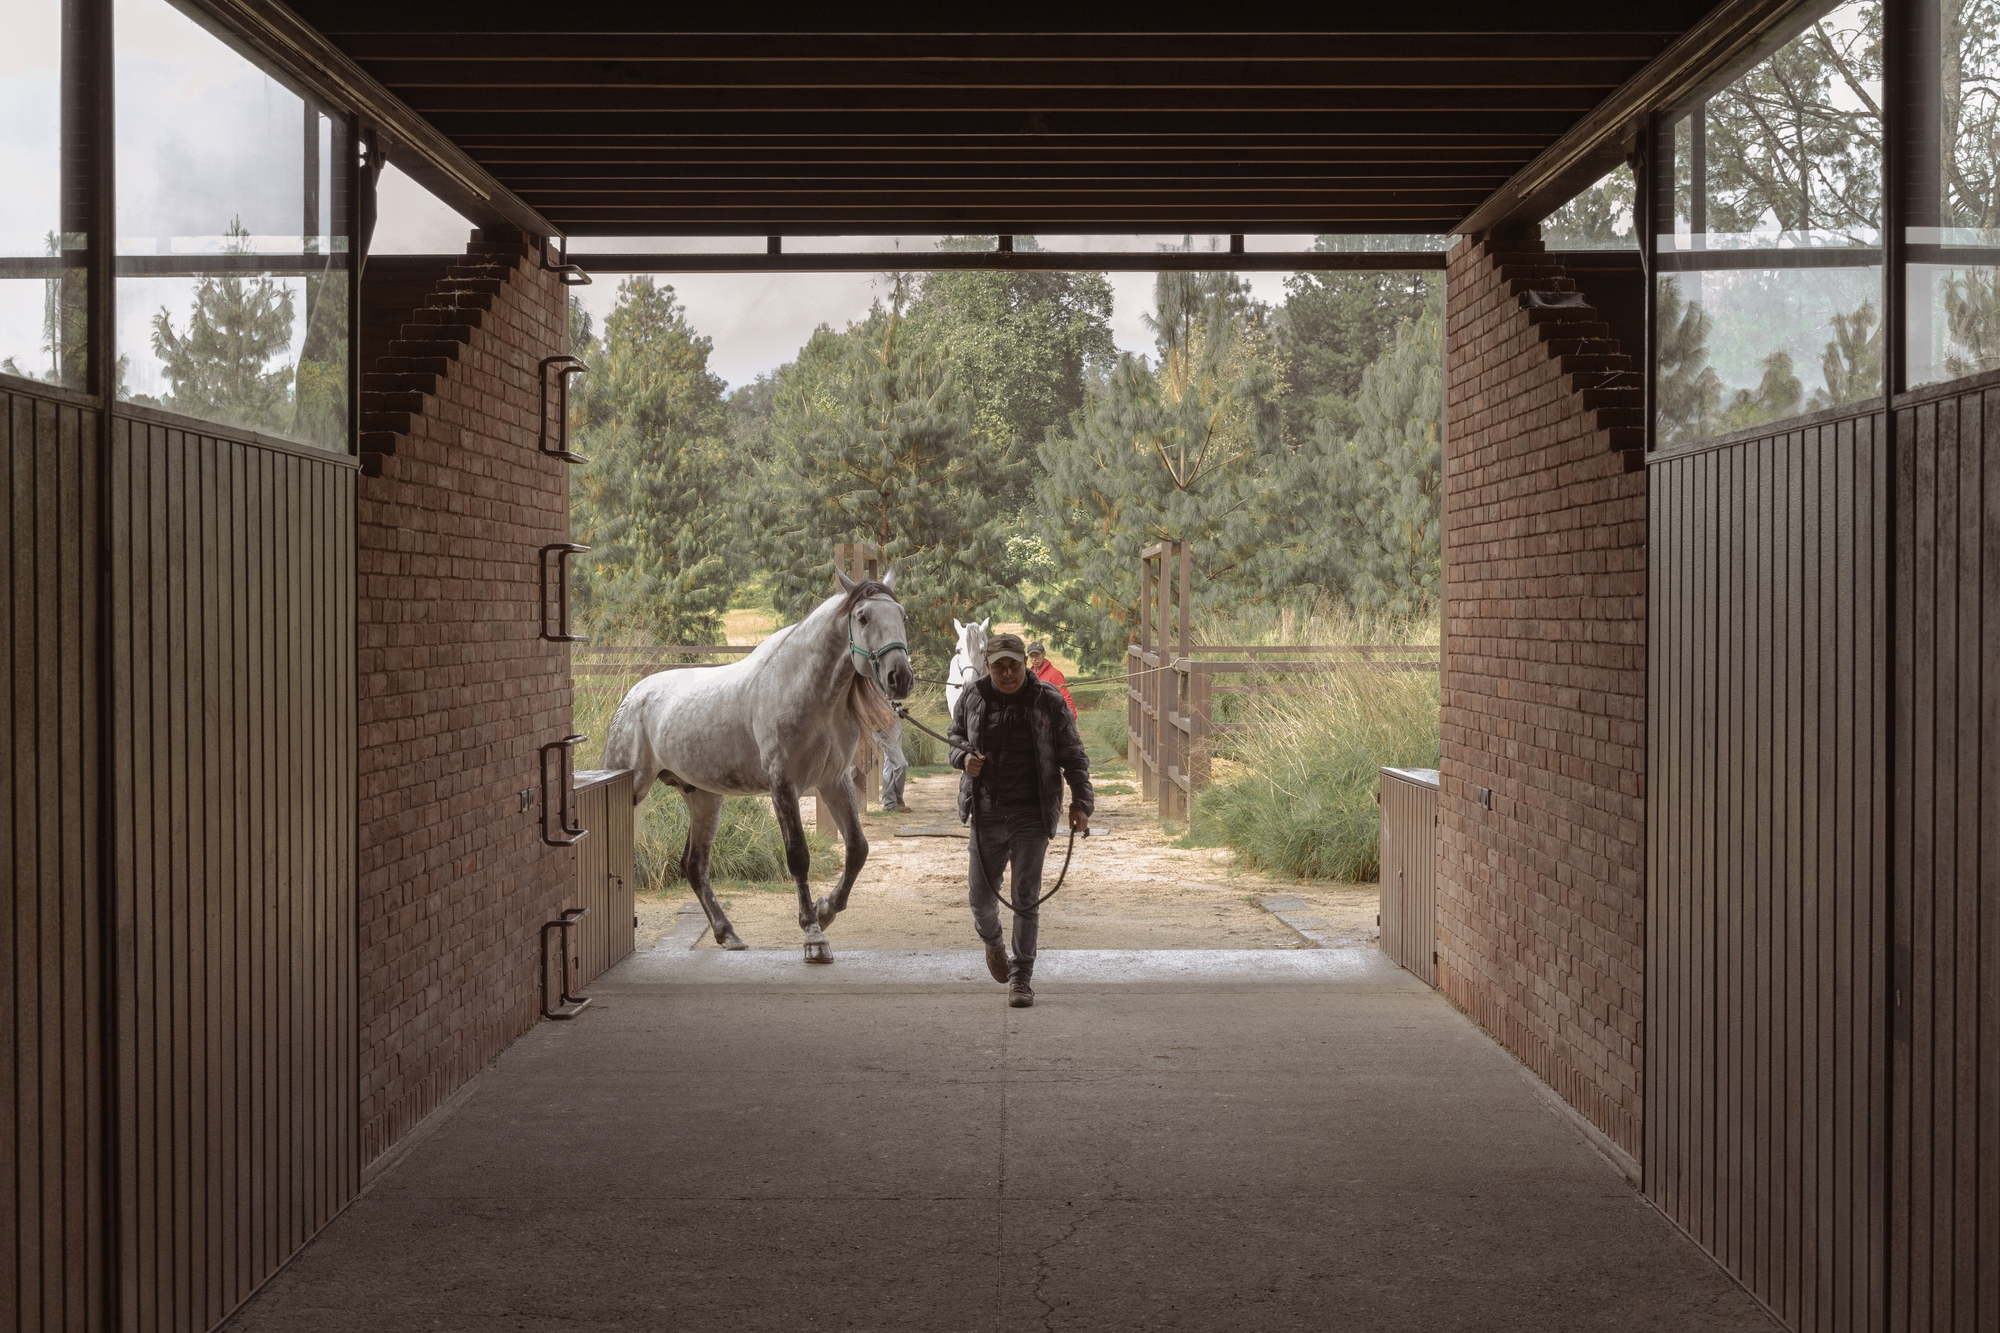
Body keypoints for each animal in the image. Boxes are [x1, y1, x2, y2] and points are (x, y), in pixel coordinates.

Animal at [602, 571, 914, 962]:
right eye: (862, 617)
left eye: (902, 616)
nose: (900, 677)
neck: (806, 690)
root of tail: (632, 696)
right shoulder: (783, 783)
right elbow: (798, 856)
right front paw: (813, 936)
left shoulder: (833, 781)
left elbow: (858, 849)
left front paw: (826, 910)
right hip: (631, 788)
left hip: (704, 797)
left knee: (694, 864)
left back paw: (728, 934)